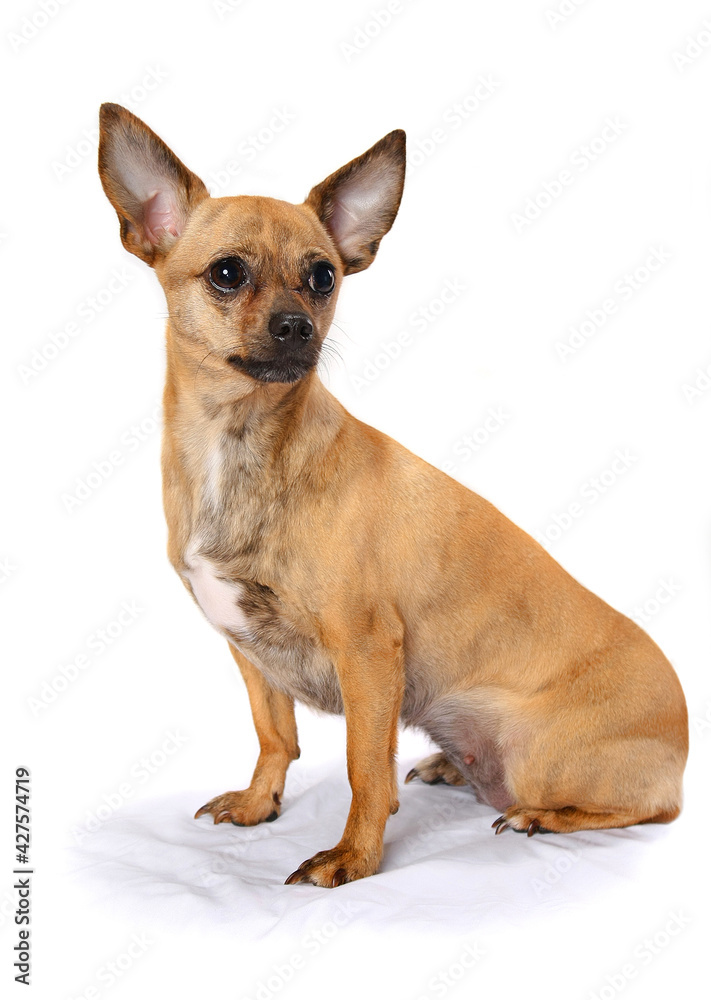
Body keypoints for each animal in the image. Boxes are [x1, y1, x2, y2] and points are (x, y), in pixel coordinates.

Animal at [98, 105, 688, 888]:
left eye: (322, 276)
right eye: (227, 273)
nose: (297, 326)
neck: (242, 441)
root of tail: (684, 738)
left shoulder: (367, 653)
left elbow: (363, 769)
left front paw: (353, 857)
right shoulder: (249, 652)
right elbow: (274, 735)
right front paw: (259, 805)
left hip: (540, 753)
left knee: (651, 811)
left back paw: (540, 816)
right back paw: (450, 766)